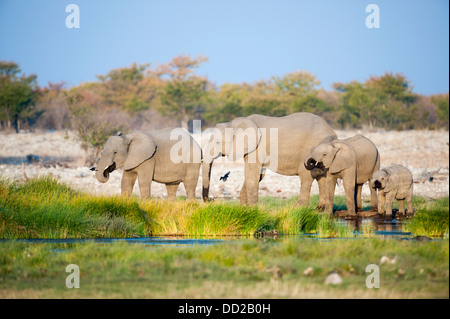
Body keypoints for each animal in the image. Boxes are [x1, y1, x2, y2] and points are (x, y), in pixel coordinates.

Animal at [202, 112, 336, 208]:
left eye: (217, 142)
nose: (211, 199)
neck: (237, 122)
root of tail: (332, 131)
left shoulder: (257, 148)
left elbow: (252, 174)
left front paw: (252, 210)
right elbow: (258, 176)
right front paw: (244, 209)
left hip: (311, 151)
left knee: (306, 176)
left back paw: (298, 209)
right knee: (322, 178)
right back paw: (321, 211)